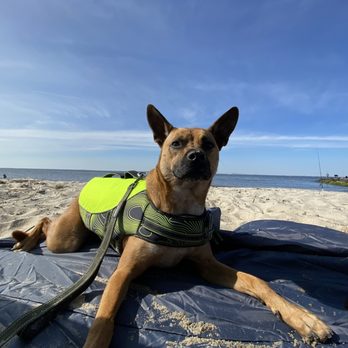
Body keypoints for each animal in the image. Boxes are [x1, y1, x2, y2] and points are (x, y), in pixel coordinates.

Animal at [11, 104, 332, 346]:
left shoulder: (207, 266)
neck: (180, 208)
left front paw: (302, 317)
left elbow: (257, 281)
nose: (196, 156)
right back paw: (23, 239)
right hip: (65, 239)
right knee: (45, 220)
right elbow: (104, 319)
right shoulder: (123, 273)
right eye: (175, 143)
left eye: (209, 144)